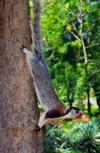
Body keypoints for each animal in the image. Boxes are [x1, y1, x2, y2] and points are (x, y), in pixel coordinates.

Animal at [21, 0, 83, 131]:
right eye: (76, 111)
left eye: (79, 110)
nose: (82, 113)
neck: (64, 113)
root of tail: (42, 63)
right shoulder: (54, 112)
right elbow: (44, 115)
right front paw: (39, 126)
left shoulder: (54, 117)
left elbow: (47, 120)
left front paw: (43, 128)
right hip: (35, 66)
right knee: (31, 58)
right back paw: (27, 51)